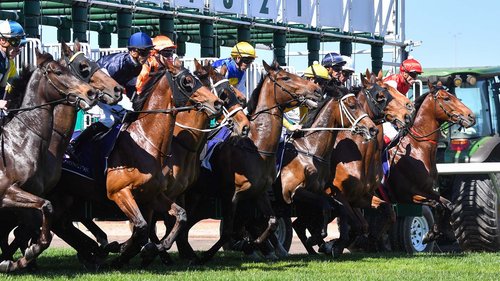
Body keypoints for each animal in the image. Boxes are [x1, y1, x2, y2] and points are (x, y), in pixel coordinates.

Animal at [175, 59, 324, 262]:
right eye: (286, 77)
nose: (317, 89)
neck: (257, 146)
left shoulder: (259, 192)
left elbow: (271, 222)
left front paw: (255, 245)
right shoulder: (232, 195)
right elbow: (230, 231)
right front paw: (213, 254)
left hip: (199, 195)